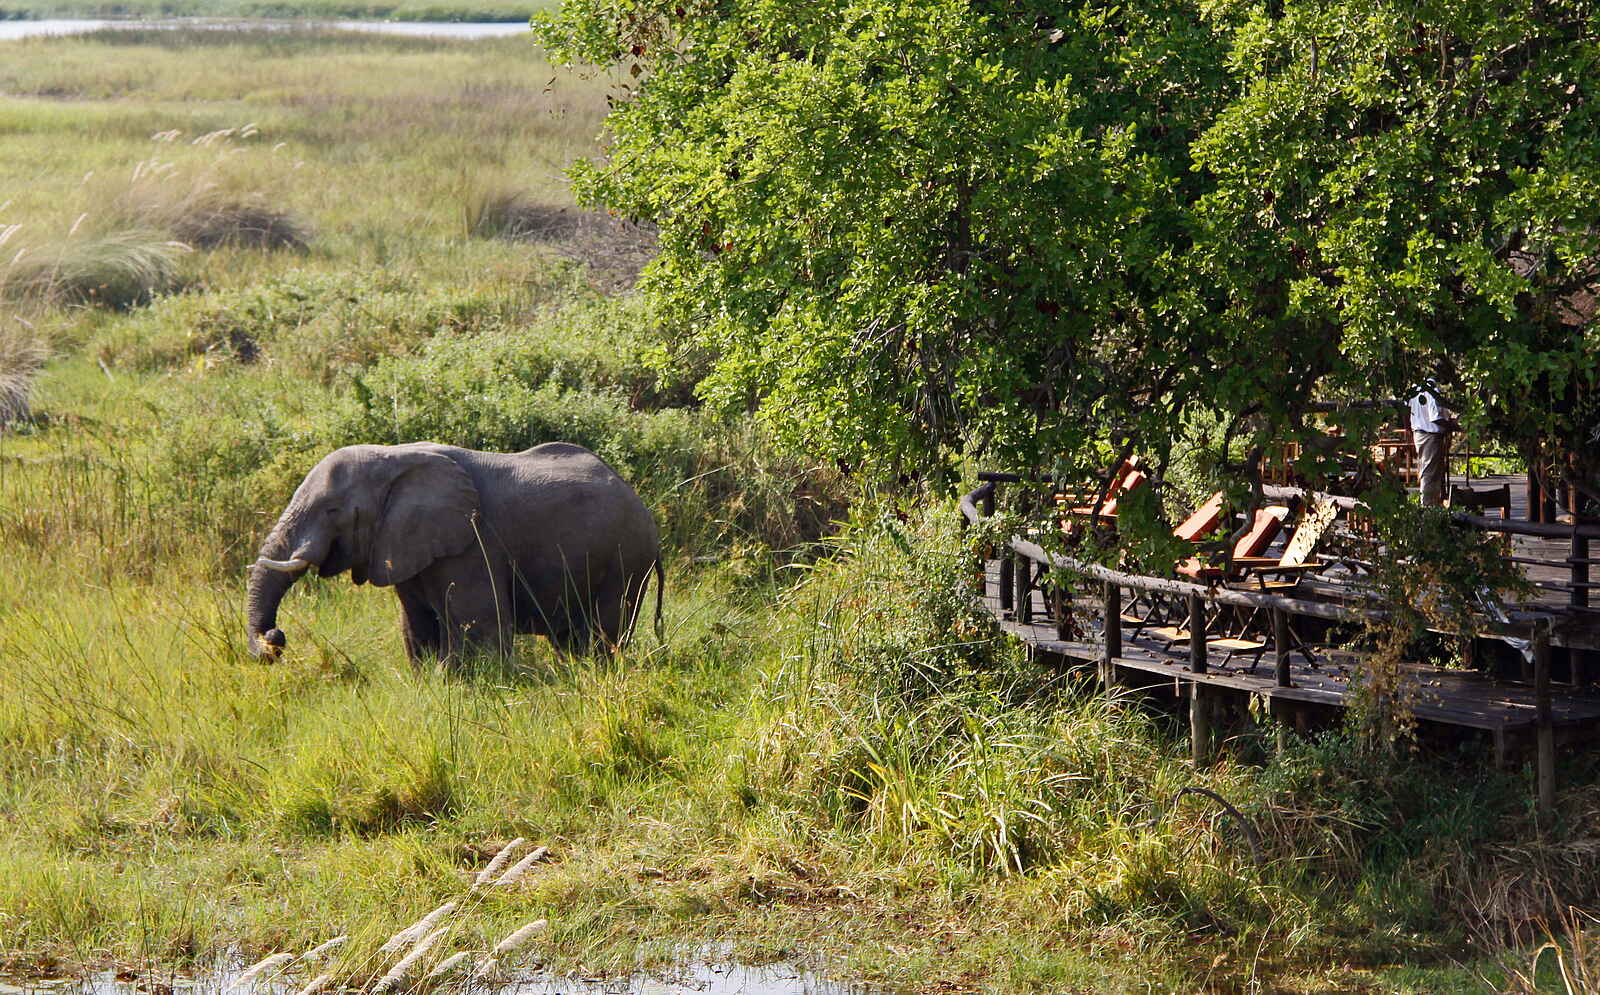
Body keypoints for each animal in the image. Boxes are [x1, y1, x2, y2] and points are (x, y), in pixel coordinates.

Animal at [245, 441, 662, 663]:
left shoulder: (472, 542)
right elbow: (415, 626)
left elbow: (478, 625)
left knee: (604, 629)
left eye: (332, 510)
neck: (393, 457)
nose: (274, 638)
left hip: (626, 559)